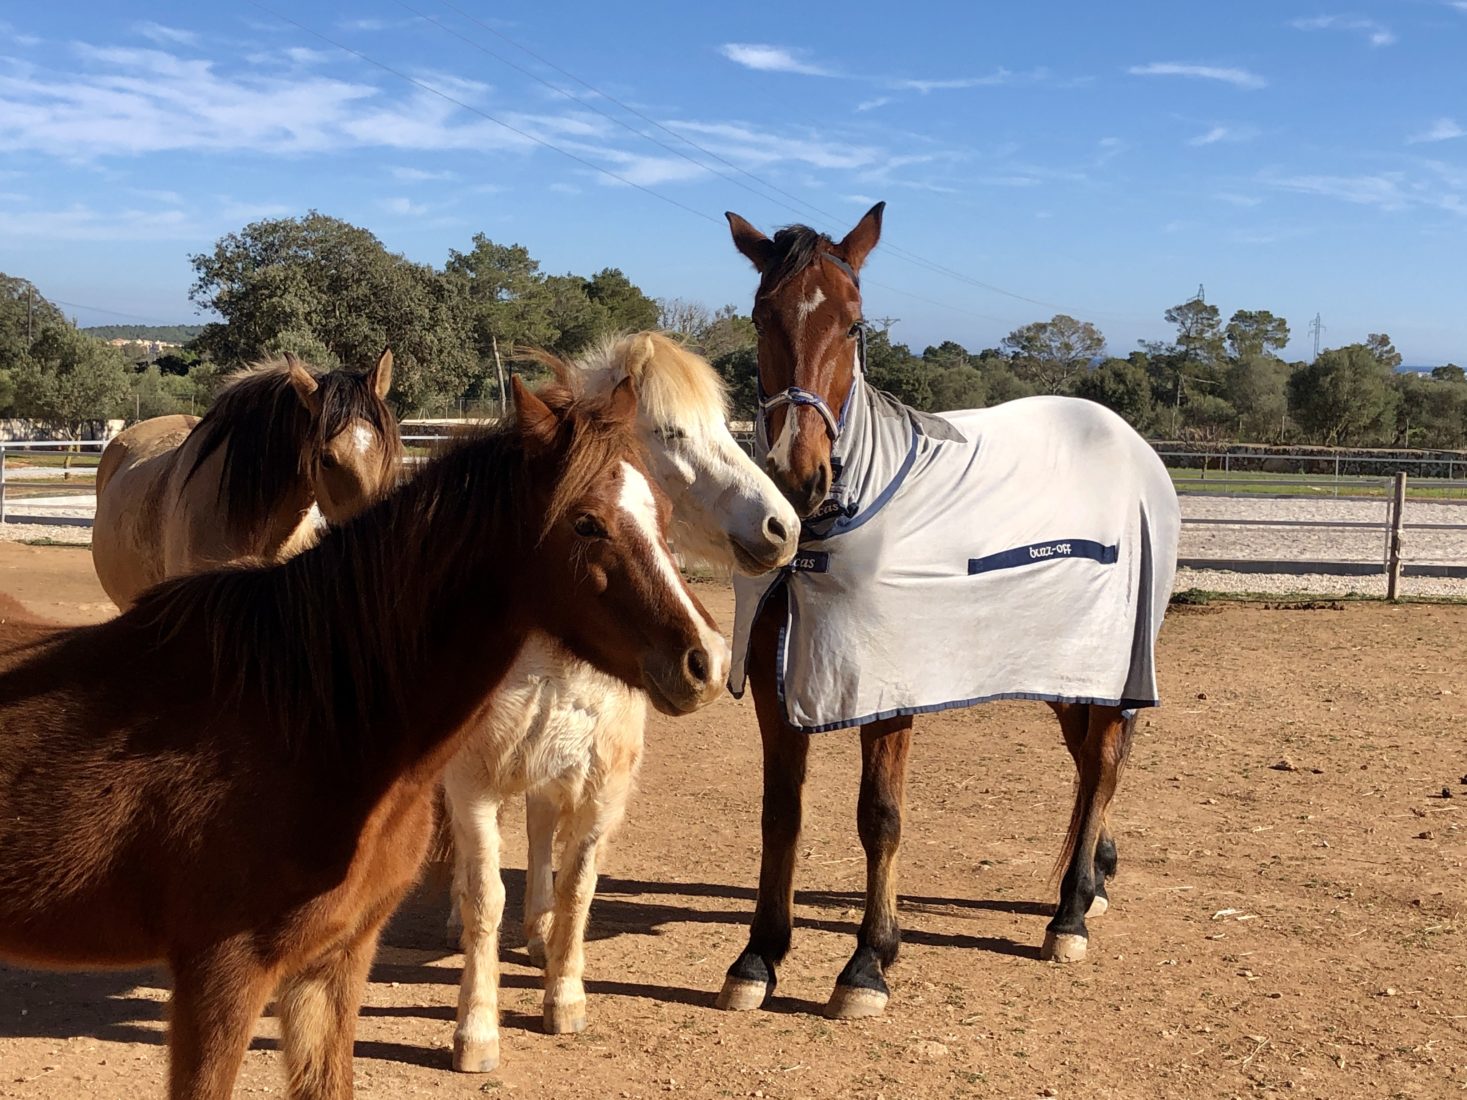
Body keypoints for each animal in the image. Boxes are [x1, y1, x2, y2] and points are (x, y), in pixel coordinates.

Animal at [440, 335, 798, 1079]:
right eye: (673, 433)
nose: (784, 528)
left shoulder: (602, 784)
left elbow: (578, 884)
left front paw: (563, 994)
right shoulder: (472, 783)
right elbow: (484, 895)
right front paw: (476, 1030)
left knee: (540, 830)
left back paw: (538, 931)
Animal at [712, 202, 1179, 1020]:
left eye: (855, 324)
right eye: (762, 316)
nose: (797, 478)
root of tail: (1130, 441)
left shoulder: (889, 688)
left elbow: (879, 817)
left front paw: (868, 963)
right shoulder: (774, 684)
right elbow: (780, 814)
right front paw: (759, 956)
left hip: (1113, 664)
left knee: (1102, 764)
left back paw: (1068, 916)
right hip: (1063, 669)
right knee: (1090, 761)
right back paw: (1092, 880)